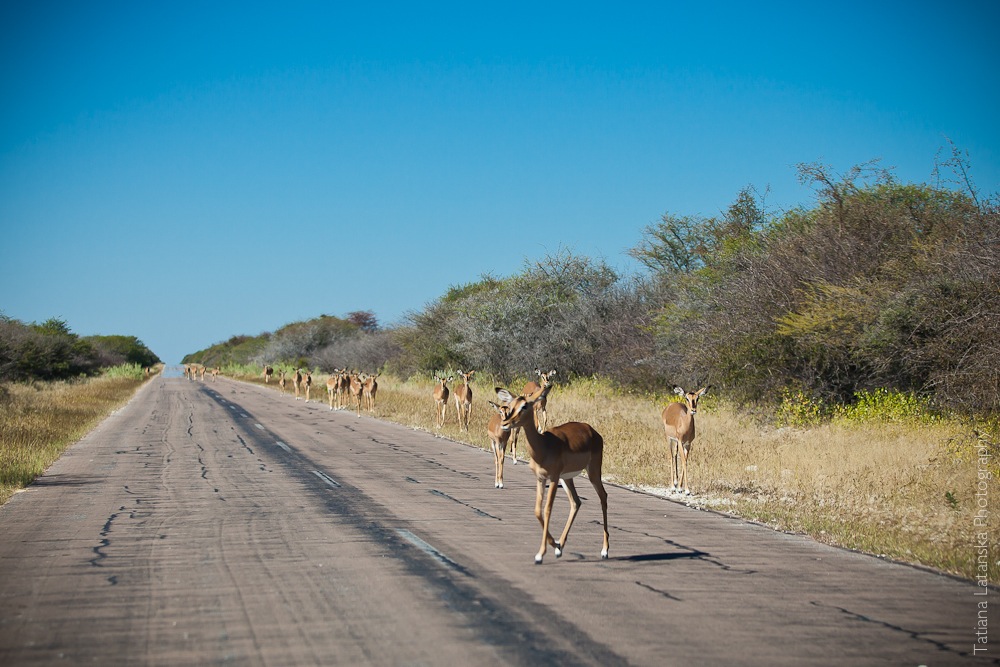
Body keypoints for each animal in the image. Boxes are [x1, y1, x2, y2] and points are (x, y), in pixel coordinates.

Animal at [498, 384, 608, 568]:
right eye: (511, 405)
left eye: (525, 406)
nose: (505, 424)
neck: (543, 447)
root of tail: (592, 431)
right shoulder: (540, 479)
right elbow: (537, 510)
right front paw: (554, 545)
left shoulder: (554, 478)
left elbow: (548, 509)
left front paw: (540, 555)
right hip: (567, 478)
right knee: (576, 502)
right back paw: (559, 547)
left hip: (592, 472)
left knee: (603, 497)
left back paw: (605, 551)